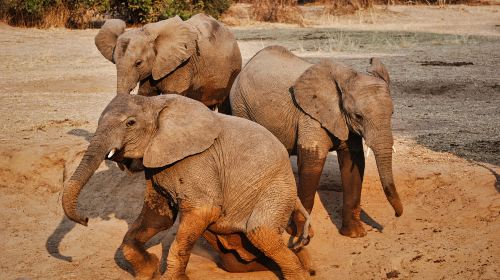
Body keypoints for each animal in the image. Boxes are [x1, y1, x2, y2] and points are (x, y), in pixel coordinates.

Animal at [61, 94, 312, 280]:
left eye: (130, 123)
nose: (85, 219)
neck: (155, 103)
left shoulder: (199, 160)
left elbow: (204, 211)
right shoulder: (157, 165)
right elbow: (158, 217)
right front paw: (149, 271)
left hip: (277, 188)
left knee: (261, 232)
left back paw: (303, 271)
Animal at [230, 46, 402, 238]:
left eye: (392, 113)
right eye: (358, 116)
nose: (396, 215)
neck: (346, 78)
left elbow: (353, 163)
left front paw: (355, 234)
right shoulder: (310, 116)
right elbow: (312, 163)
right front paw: (300, 234)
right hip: (241, 106)